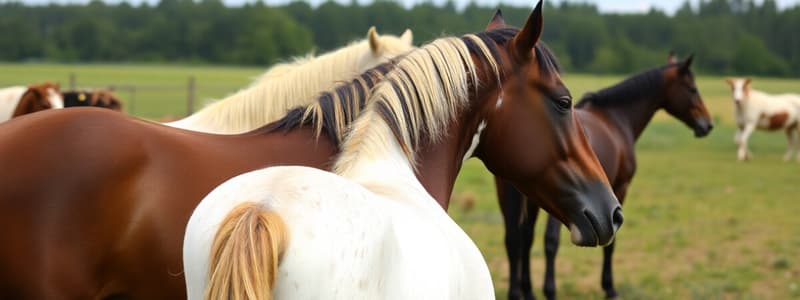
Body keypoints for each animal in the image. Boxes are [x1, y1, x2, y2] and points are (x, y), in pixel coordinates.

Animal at [500, 54, 712, 300]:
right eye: (692, 89)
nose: (707, 124)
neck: (616, 118)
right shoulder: (620, 188)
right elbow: (611, 241)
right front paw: (610, 288)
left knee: (519, 238)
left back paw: (525, 291)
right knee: (548, 241)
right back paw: (549, 291)